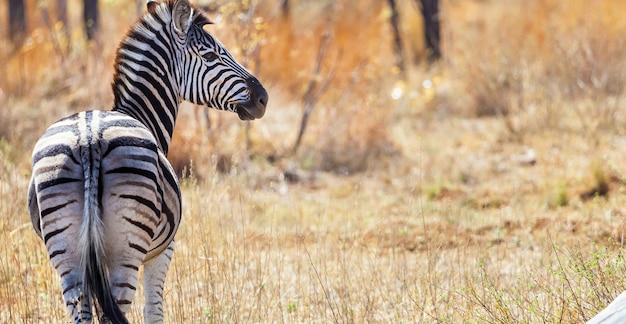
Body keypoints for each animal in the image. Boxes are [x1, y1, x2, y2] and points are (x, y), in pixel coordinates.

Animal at [26, 1, 266, 322]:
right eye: (211, 56)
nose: (263, 98)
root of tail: (89, 139)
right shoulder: (163, 251)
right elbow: (154, 309)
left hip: (66, 251)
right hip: (126, 251)